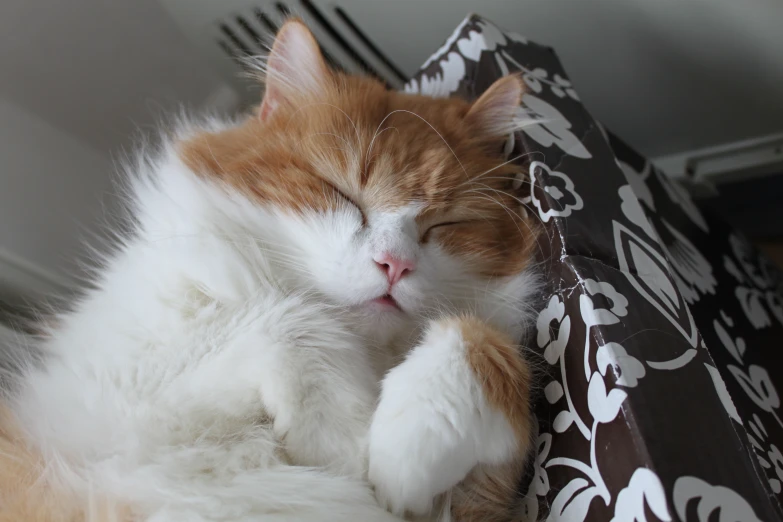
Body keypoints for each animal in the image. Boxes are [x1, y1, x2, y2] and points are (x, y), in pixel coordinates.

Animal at [0, 18, 540, 516]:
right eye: (341, 192)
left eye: (445, 223)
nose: (395, 264)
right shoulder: (124, 397)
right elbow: (288, 318)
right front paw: (344, 443)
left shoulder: (475, 506)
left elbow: (480, 342)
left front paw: (401, 455)